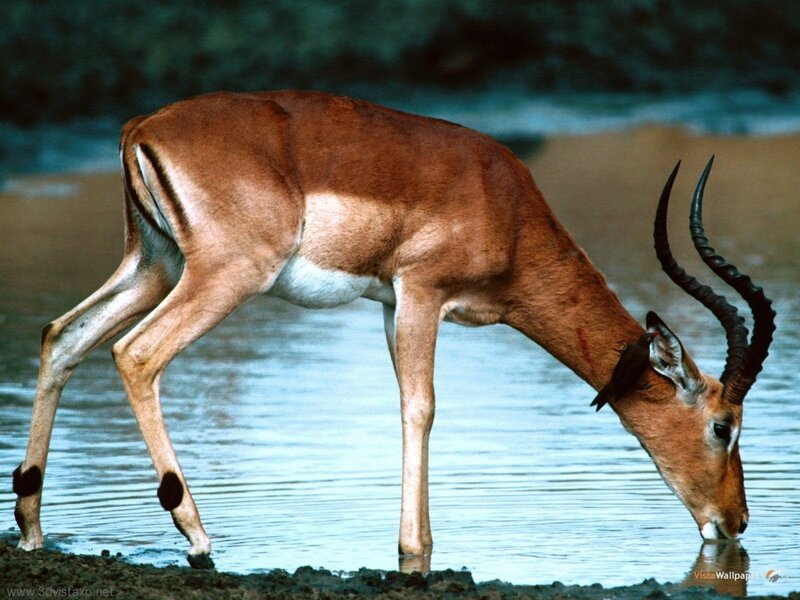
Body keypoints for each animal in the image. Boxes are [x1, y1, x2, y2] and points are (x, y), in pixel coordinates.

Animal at [13, 91, 775, 569]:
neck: (507, 209)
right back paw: (196, 536)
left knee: (62, 336)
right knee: (136, 353)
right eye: (722, 426)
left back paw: (31, 530)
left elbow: (410, 406)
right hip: (223, 276)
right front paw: (416, 550)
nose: (736, 523)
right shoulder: (421, 294)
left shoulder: (387, 304)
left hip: (152, 265)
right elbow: (422, 408)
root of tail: (142, 128)